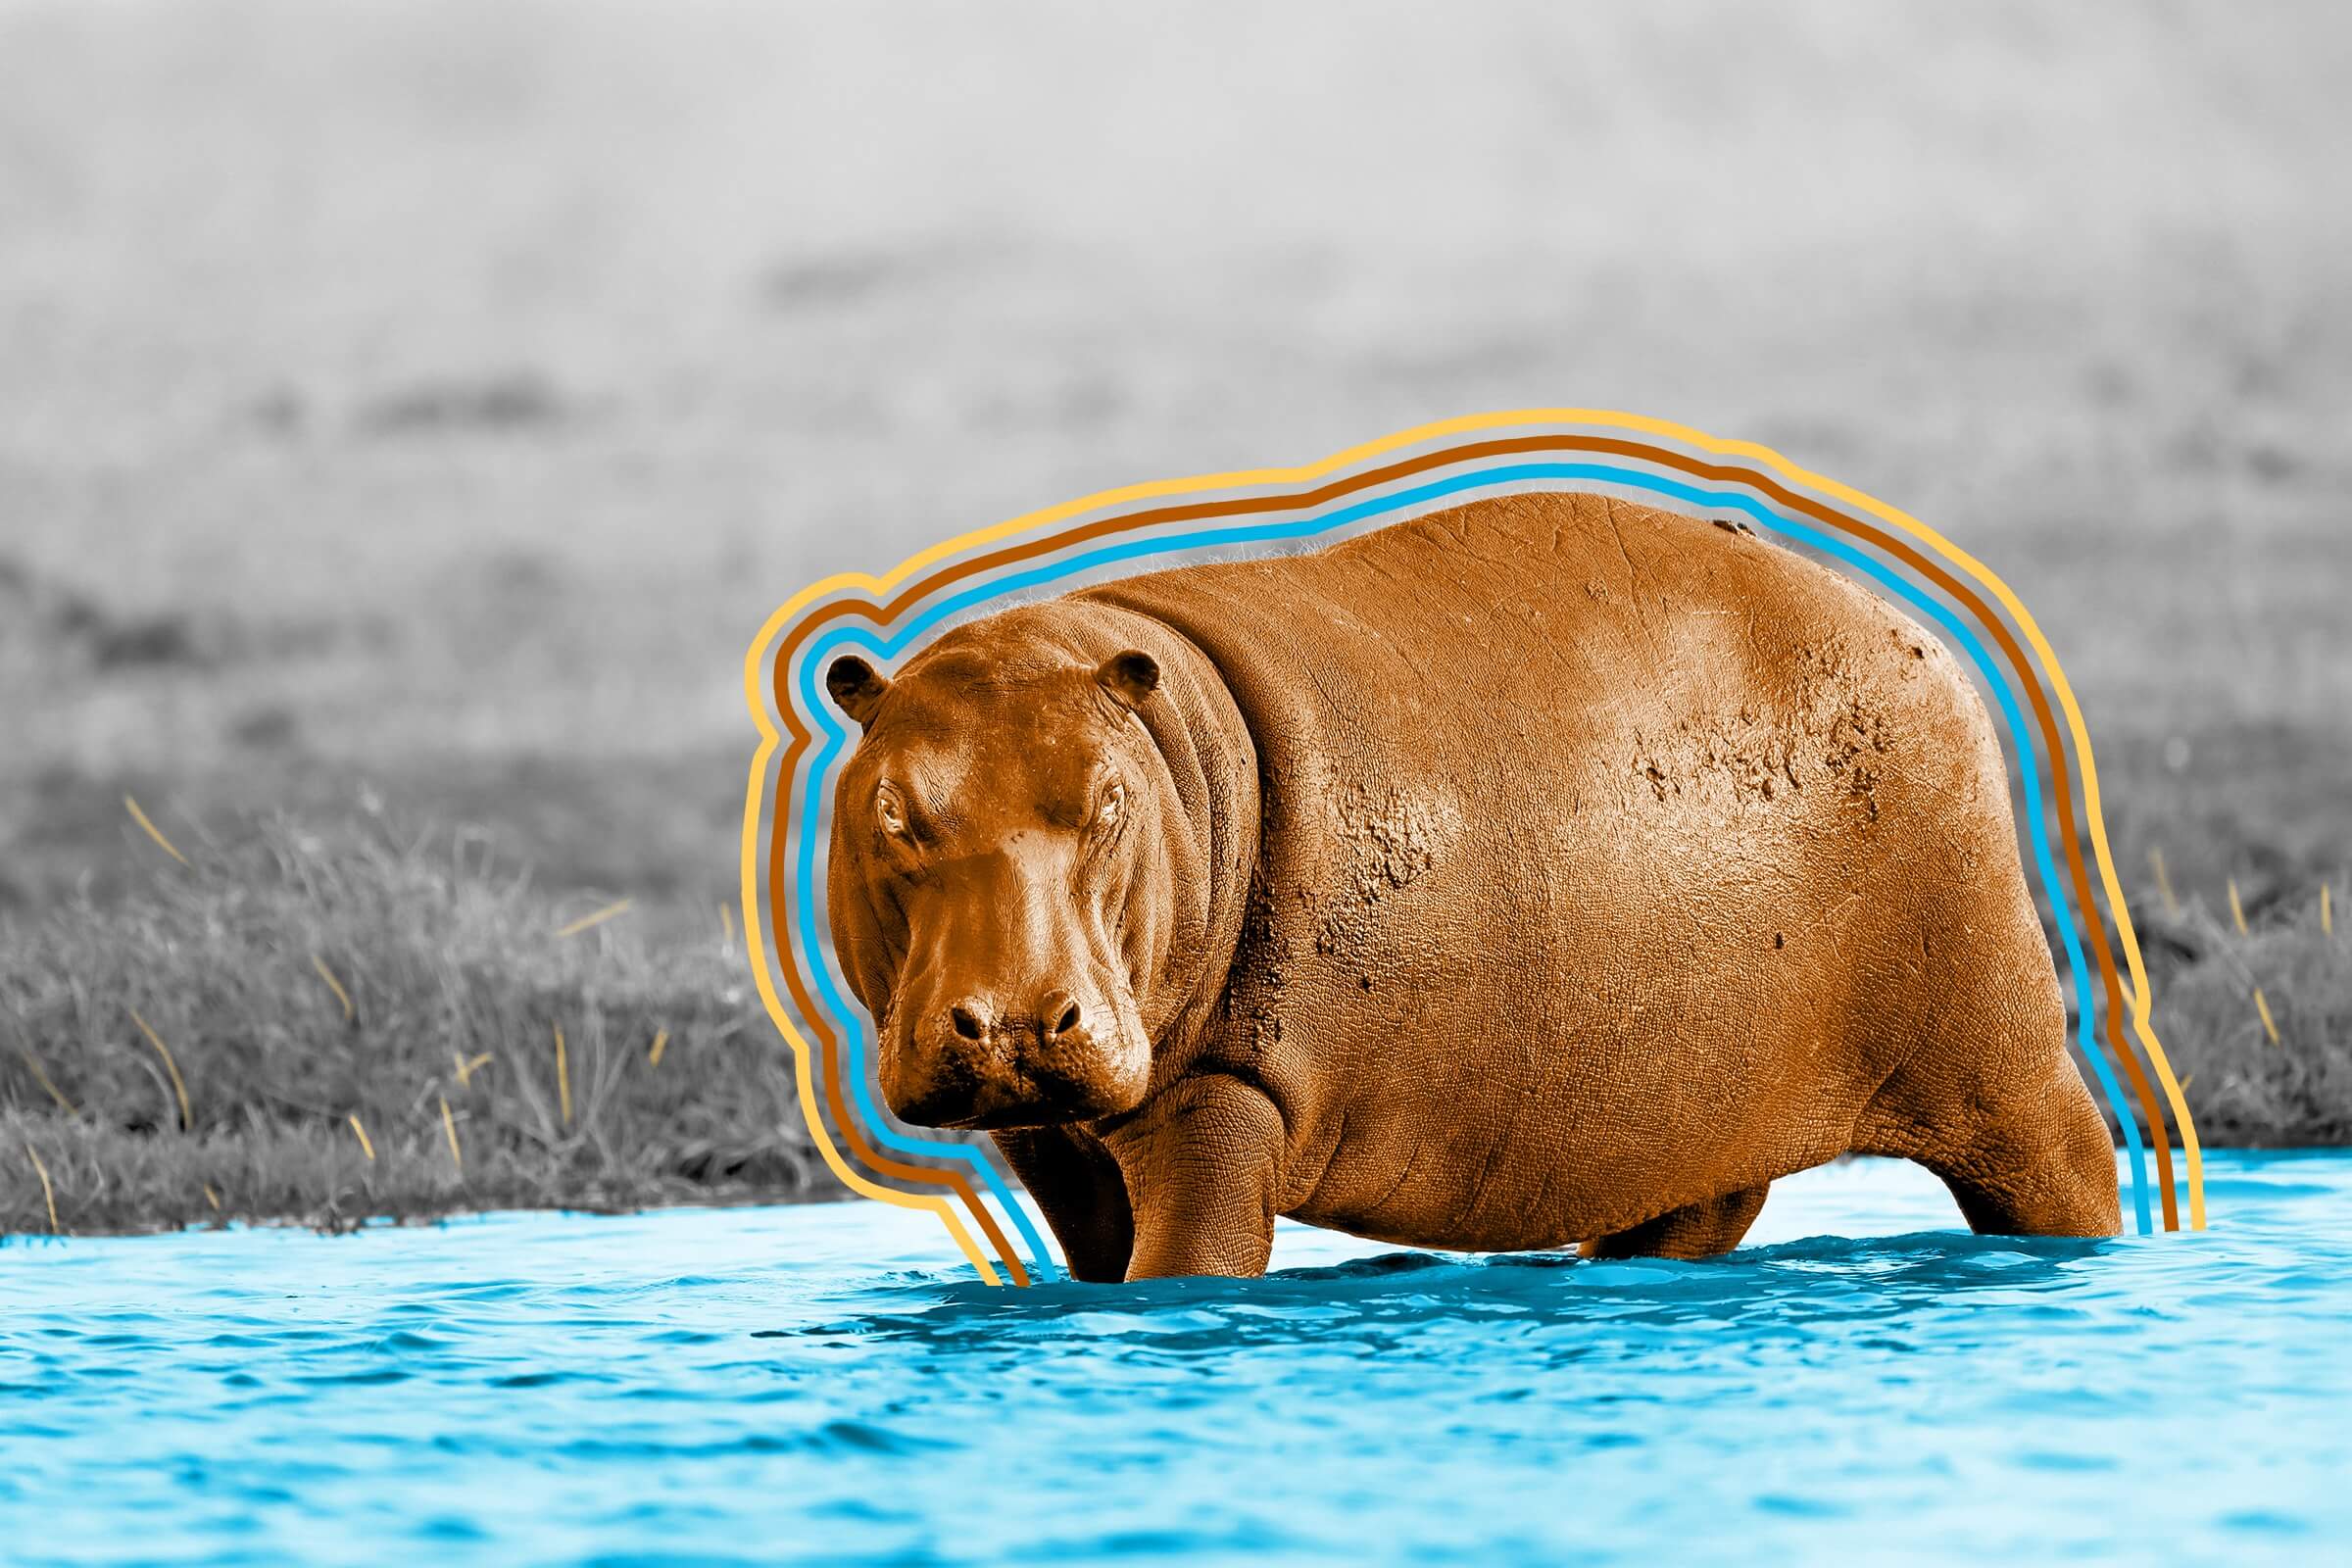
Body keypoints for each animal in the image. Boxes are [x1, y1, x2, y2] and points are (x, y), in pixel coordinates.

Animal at [822, 490, 2121, 1280]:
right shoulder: (1050, 1131)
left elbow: (1186, 1261)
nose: (1015, 1021)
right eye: (890, 811)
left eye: (1106, 803)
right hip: (1695, 1093)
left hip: (1991, 1043)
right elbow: (1097, 1261)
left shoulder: (1225, 1095)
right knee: (1700, 1208)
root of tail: (1915, 627)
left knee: (2065, 1155)